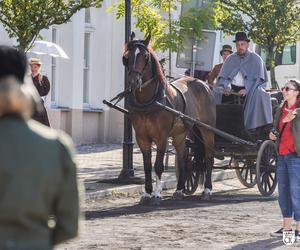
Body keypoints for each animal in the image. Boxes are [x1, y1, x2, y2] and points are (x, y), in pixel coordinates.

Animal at [123, 33, 217, 204]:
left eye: (145, 56)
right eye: (127, 56)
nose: (134, 81)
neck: (150, 101)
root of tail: (204, 84)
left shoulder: (161, 137)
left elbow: (158, 165)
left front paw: (157, 194)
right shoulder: (142, 137)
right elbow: (147, 166)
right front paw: (147, 193)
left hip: (207, 129)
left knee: (209, 157)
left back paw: (207, 189)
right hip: (180, 134)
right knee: (183, 159)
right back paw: (179, 190)